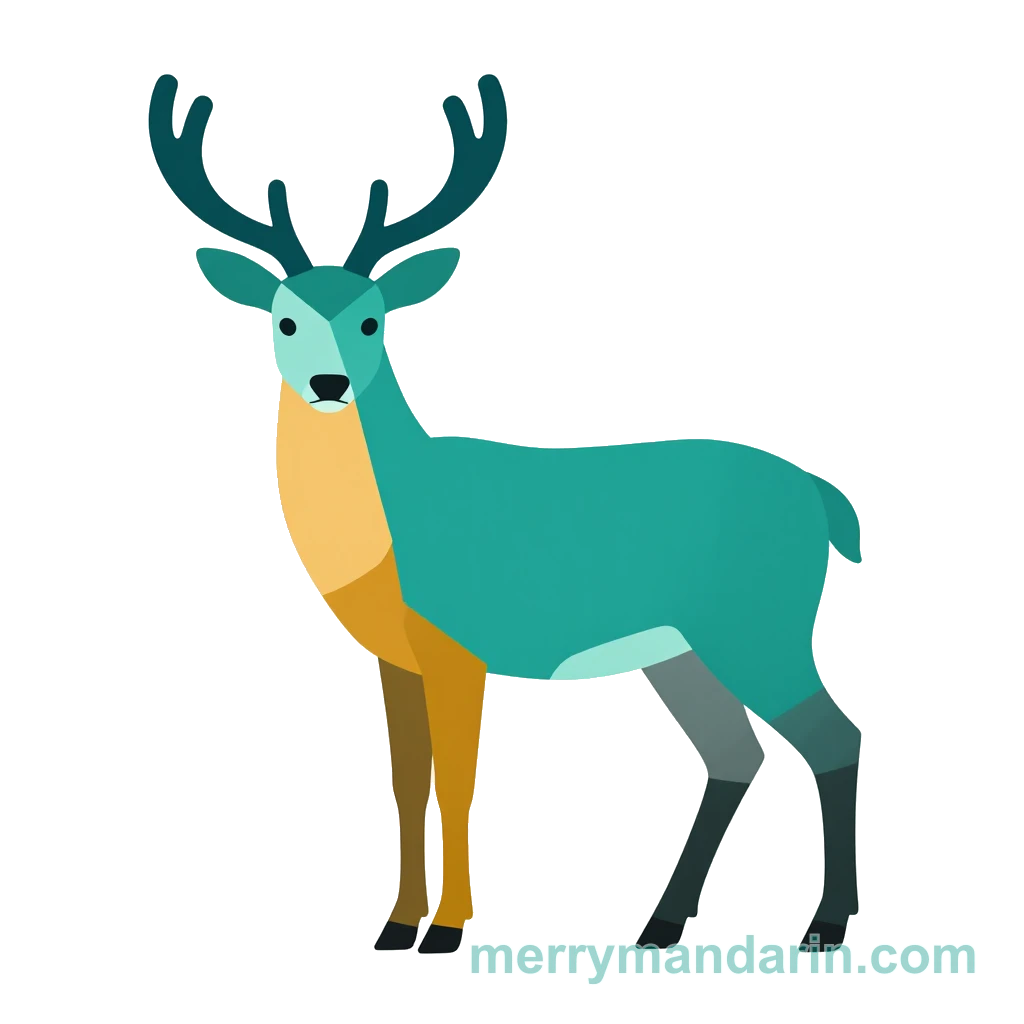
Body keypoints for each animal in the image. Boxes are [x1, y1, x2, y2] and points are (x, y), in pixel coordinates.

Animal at [148, 72, 863, 957]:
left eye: (371, 319)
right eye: (284, 319)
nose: (328, 384)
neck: (397, 527)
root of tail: (825, 501)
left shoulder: (460, 646)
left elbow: (456, 778)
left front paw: (448, 930)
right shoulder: (397, 659)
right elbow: (405, 779)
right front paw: (395, 925)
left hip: (759, 624)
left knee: (832, 734)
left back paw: (824, 925)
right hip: (681, 650)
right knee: (736, 752)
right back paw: (658, 925)